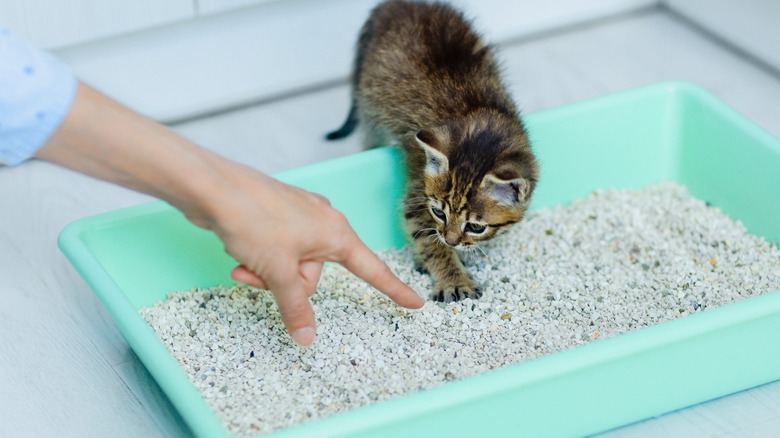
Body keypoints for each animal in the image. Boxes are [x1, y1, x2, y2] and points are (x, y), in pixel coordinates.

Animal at [326, 0, 540, 302]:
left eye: (476, 226)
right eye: (439, 213)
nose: (451, 239)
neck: (477, 113)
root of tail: (396, 3)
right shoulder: (417, 192)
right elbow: (427, 237)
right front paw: (453, 279)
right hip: (369, 106)